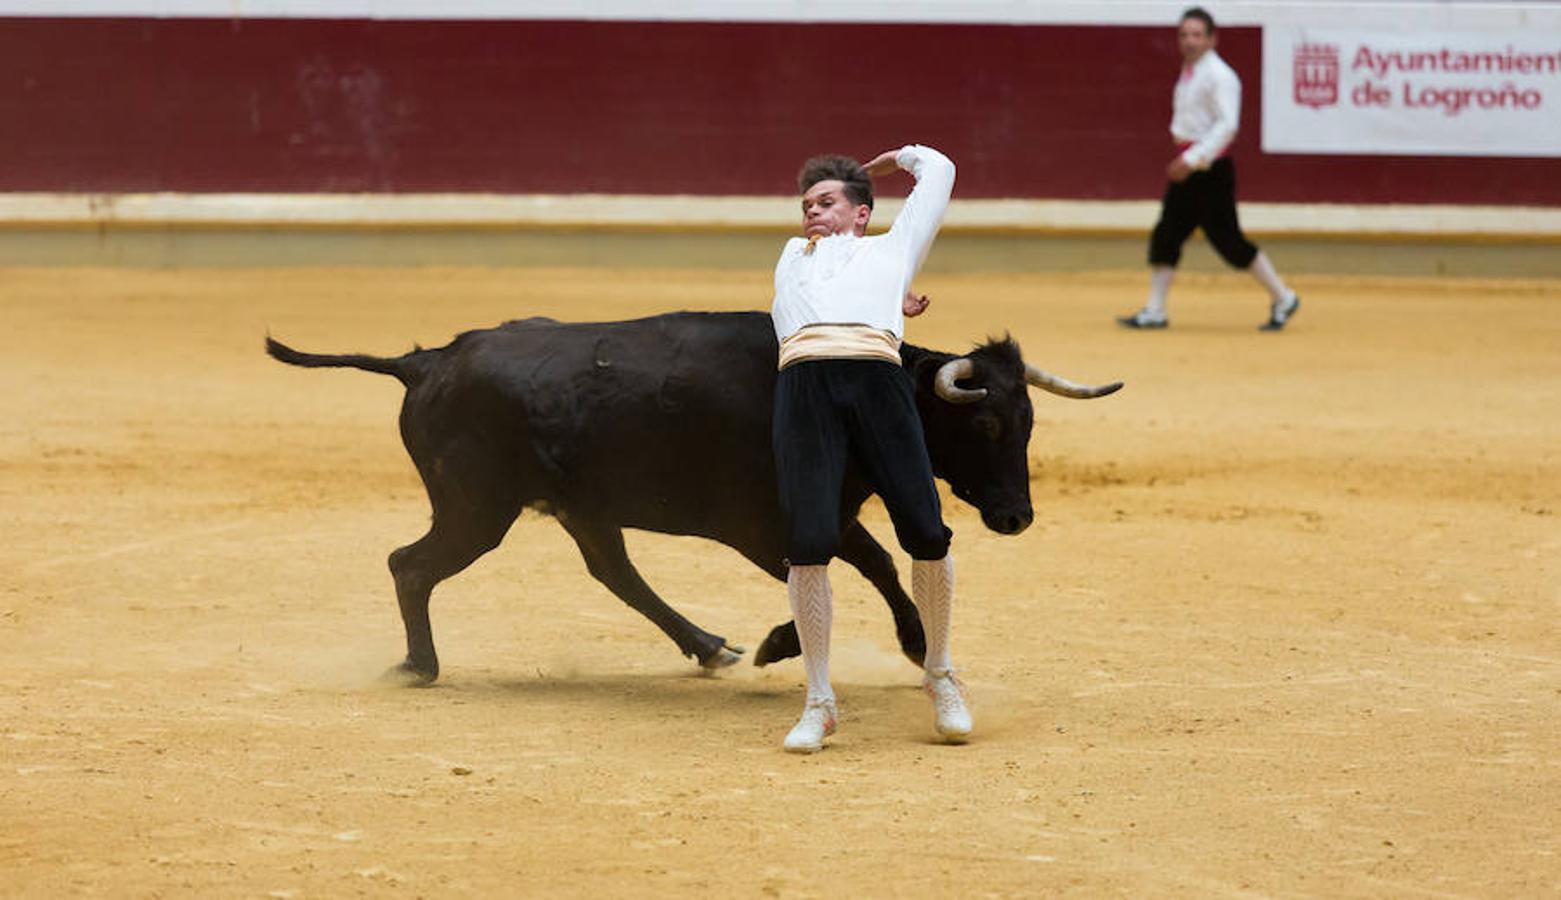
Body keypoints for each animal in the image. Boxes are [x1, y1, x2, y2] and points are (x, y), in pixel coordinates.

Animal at [268, 308, 1123, 680]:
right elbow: (867, 564)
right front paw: (898, 645)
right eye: (983, 422)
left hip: (573, 506)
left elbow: (858, 564)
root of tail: (425, 361)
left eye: (1029, 422)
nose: (1015, 516)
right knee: (410, 565)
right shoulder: (760, 523)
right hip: (477, 509)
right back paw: (420, 665)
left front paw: (782, 642)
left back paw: (709, 645)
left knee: (613, 572)